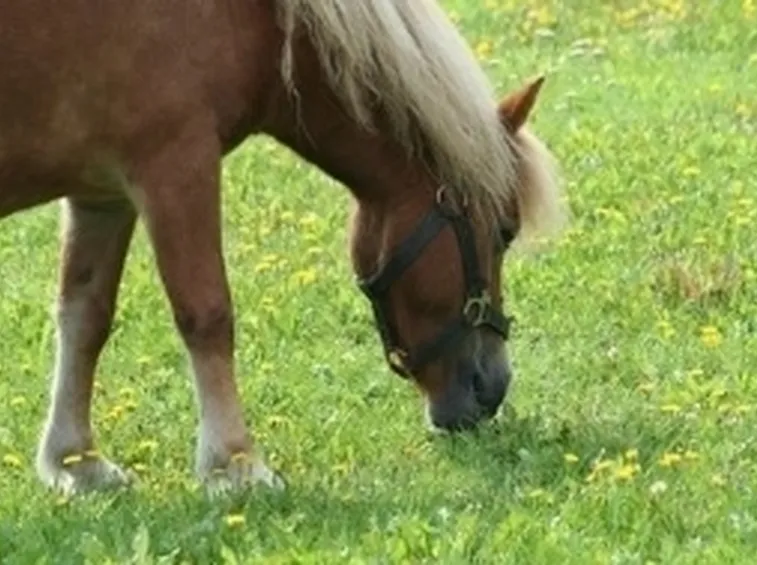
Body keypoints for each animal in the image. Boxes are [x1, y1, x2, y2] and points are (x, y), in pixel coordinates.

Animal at [0, 0, 565, 496]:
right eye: (505, 231)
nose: (492, 386)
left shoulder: (102, 194)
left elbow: (84, 318)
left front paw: (77, 462)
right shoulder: (177, 166)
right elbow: (207, 315)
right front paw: (236, 464)